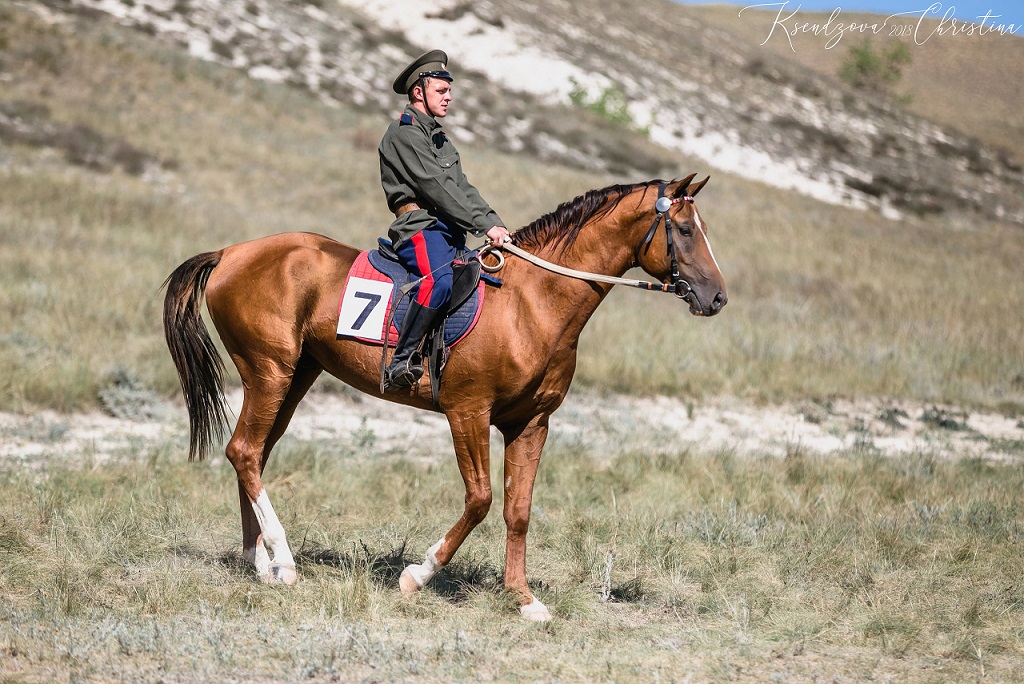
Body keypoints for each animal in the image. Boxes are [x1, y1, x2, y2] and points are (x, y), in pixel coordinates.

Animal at [159, 174, 724, 622]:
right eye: (685, 230)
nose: (716, 297)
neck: (531, 303)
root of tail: (231, 252)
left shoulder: (531, 424)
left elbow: (518, 510)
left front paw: (523, 600)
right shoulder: (467, 412)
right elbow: (480, 500)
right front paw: (417, 575)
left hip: (294, 379)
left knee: (251, 454)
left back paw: (262, 565)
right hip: (269, 373)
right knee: (244, 452)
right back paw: (284, 559)